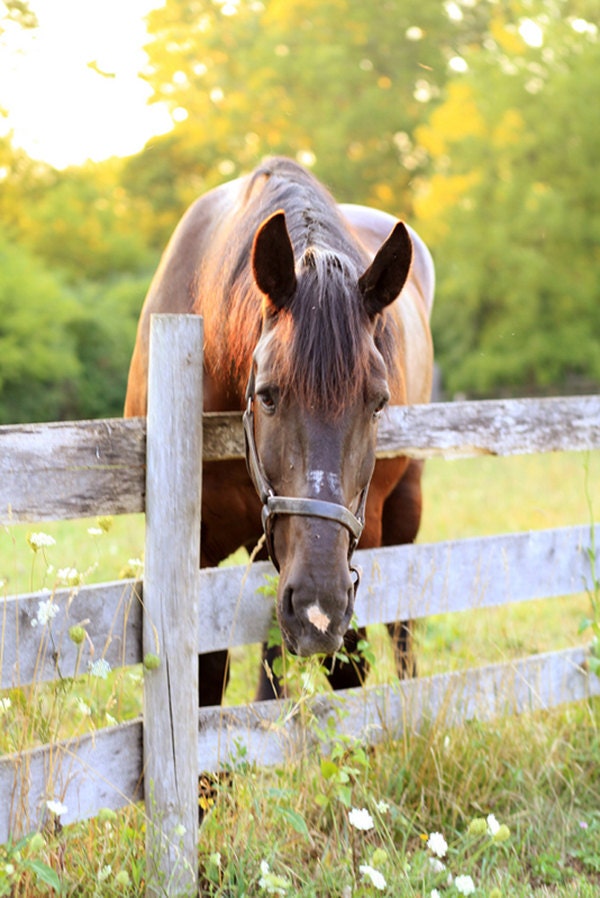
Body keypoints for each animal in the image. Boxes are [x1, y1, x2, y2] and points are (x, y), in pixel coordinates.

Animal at [125, 157, 434, 705]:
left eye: (378, 402)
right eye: (267, 395)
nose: (318, 607)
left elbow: (350, 670)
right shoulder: (202, 554)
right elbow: (208, 677)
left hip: (403, 505)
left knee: (403, 630)